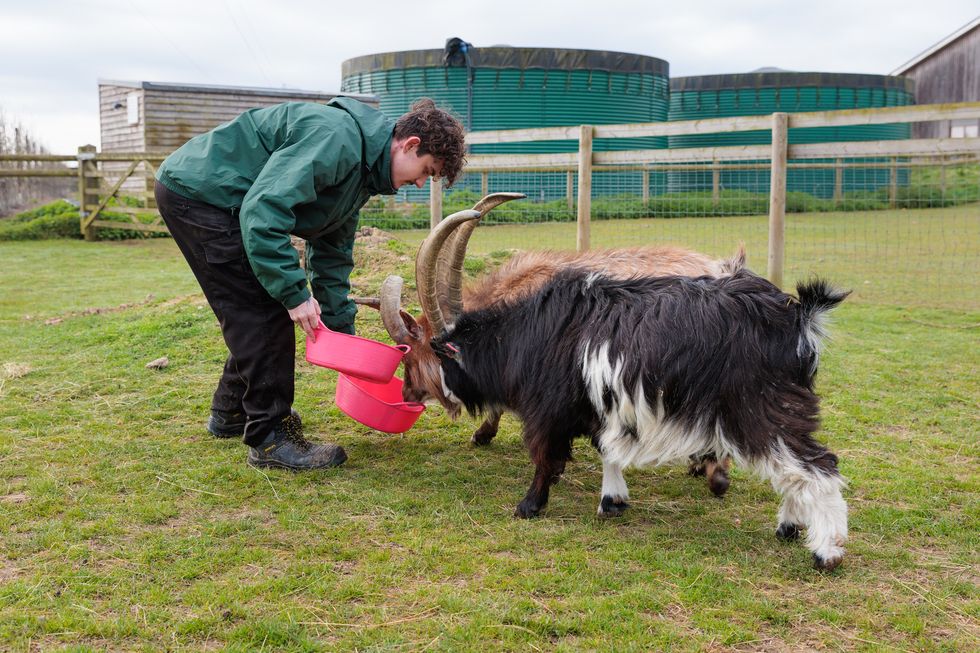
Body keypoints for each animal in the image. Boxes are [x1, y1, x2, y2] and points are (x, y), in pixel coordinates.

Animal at [390, 263, 850, 570]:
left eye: (426, 356)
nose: (407, 392)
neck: (524, 336)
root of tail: (799, 317)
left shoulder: (547, 410)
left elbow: (545, 458)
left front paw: (529, 506)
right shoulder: (597, 406)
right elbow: (604, 448)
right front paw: (612, 500)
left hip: (761, 406)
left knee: (818, 464)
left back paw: (825, 552)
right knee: (796, 467)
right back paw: (789, 527)